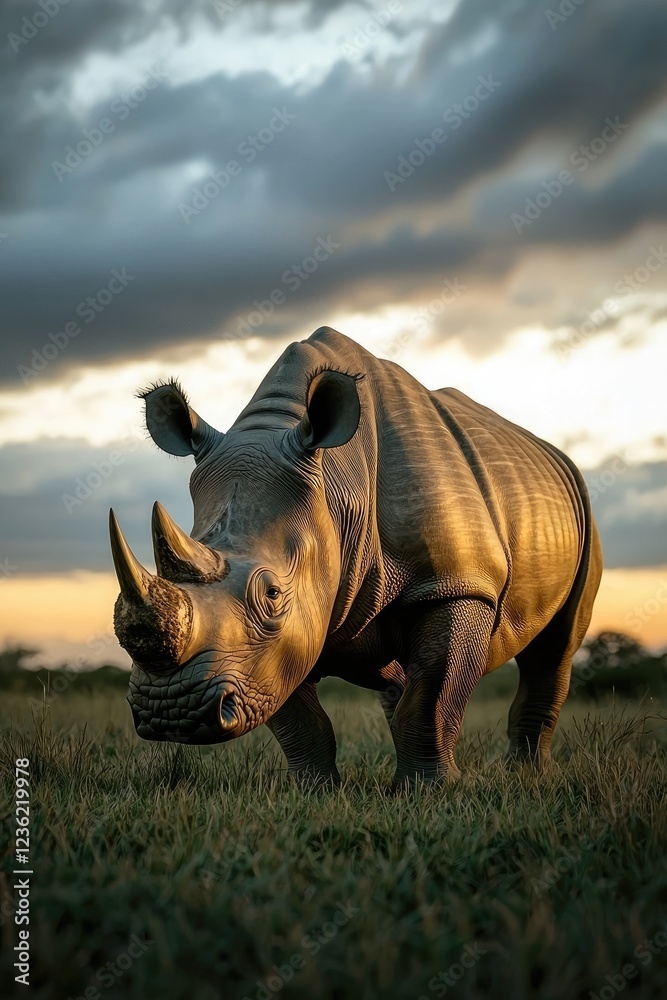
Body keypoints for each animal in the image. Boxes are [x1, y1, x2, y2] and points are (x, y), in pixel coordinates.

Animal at [110, 327, 603, 787]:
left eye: (271, 594)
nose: (172, 712)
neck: (336, 486)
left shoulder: (457, 583)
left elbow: (434, 691)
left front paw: (429, 791)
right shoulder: (271, 648)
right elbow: (297, 716)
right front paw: (314, 792)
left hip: (581, 508)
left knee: (555, 649)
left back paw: (528, 773)